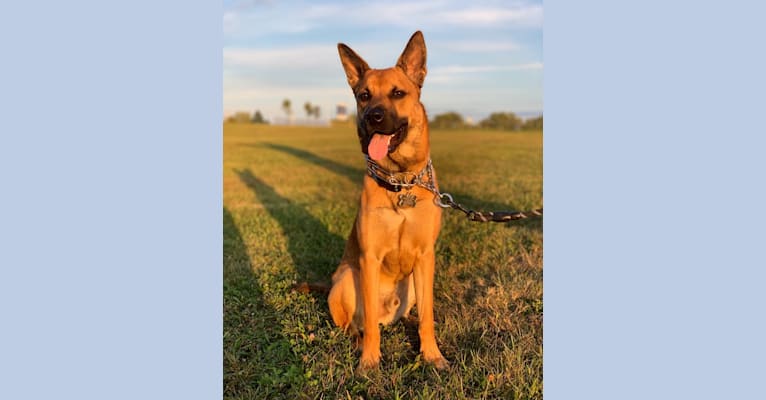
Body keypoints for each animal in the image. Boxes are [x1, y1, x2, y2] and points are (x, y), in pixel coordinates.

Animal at [328, 31, 450, 372]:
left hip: (414, 285)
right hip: (345, 279)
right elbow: (369, 324)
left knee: (412, 312)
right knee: (355, 325)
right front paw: (370, 360)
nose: (374, 117)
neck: (400, 183)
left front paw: (432, 355)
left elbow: (427, 317)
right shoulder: (369, 258)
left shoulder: (425, 257)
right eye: (363, 95)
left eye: (397, 93)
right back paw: (359, 343)